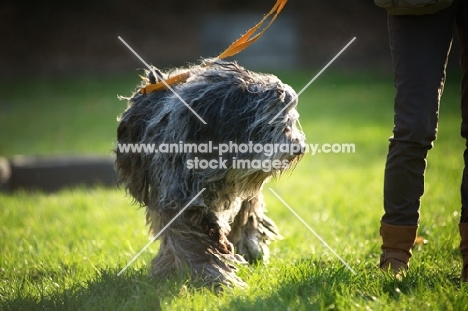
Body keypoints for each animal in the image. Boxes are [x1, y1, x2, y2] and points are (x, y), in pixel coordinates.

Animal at [116, 59, 306, 290]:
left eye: (289, 121)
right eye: (270, 124)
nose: (299, 148)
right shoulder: (179, 199)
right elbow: (193, 241)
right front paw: (215, 277)